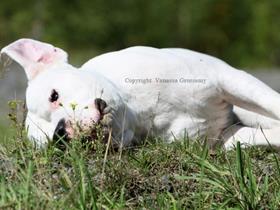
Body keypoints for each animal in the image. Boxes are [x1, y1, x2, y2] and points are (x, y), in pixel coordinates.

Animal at [0, 38, 280, 149]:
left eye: (54, 96)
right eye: (53, 144)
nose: (61, 135)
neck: (140, 113)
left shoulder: (226, 78)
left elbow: (273, 103)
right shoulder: (221, 137)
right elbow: (262, 136)